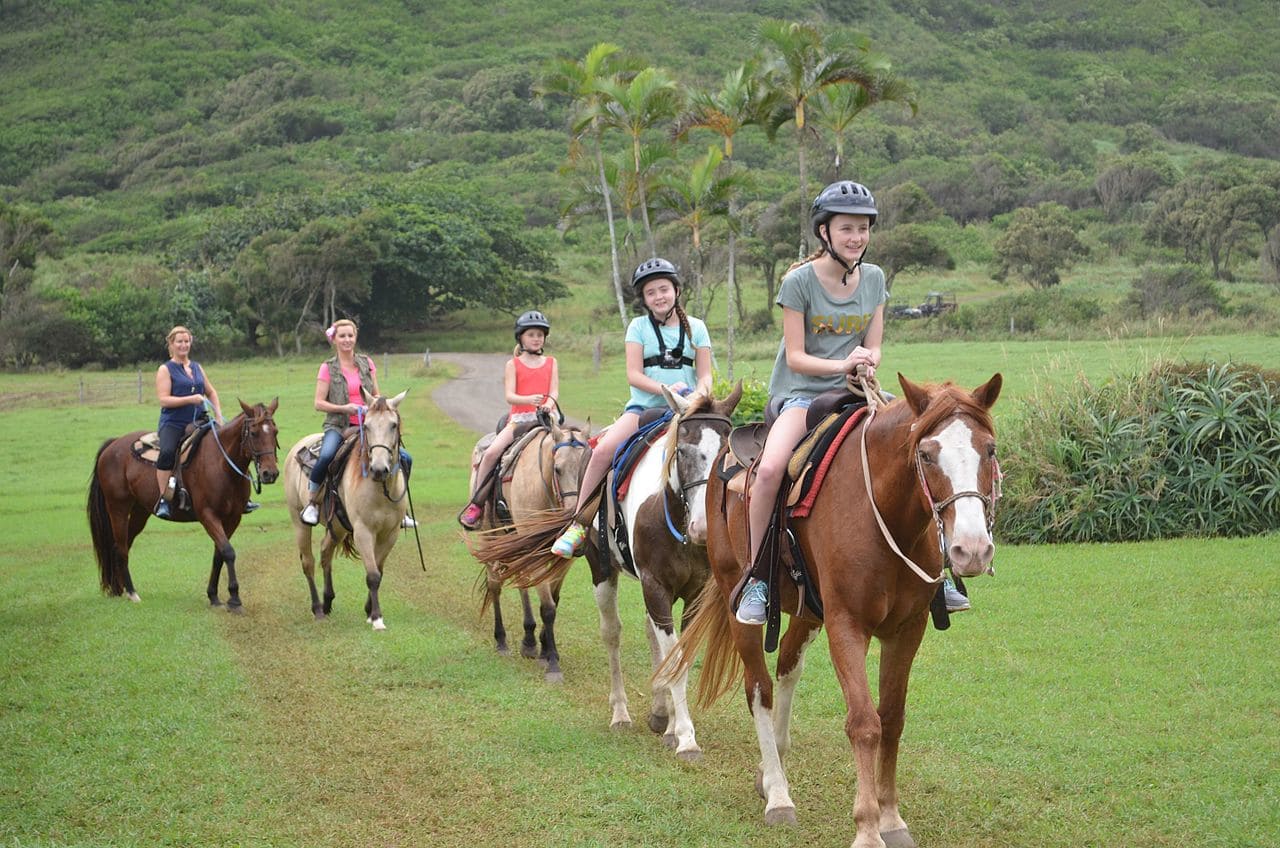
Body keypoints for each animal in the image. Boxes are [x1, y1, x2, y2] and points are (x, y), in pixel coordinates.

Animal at [87, 399, 282, 612]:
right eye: (254, 433)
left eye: (275, 431)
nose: (270, 473)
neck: (222, 465)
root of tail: (112, 445)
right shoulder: (208, 515)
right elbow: (228, 552)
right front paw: (234, 599)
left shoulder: (233, 518)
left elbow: (219, 554)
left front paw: (214, 596)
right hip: (118, 508)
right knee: (121, 548)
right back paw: (132, 593)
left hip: (140, 512)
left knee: (120, 546)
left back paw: (118, 589)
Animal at [285, 391, 409, 630]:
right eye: (366, 426)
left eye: (393, 425)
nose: (379, 469)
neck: (380, 489)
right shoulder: (363, 531)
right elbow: (372, 575)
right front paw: (377, 618)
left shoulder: (390, 534)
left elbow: (379, 571)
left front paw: (369, 611)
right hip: (299, 522)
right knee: (308, 563)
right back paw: (317, 609)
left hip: (338, 526)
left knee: (325, 552)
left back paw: (327, 602)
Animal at [476, 381, 747, 758]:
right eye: (681, 452)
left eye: (727, 455)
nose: (702, 528)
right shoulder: (654, 584)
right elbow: (669, 656)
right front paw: (686, 739)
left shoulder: (693, 592)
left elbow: (679, 655)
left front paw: (672, 726)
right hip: (602, 571)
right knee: (611, 633)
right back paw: (621, 713)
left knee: (651, 636)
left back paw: (660, 713)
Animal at [665, 376, 1003, 845]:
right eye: (926, 454)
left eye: (989, 449)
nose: (972, 550)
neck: (884, 513)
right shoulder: (847, 625)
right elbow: (864, 723)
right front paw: (867, 828)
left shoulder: (908, 628)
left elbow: (892, 719)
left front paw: (891, 818)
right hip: (740, 601)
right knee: (760, 689)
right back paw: (779, 796)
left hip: (808, 612)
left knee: (787, 667)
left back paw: (770, 773)